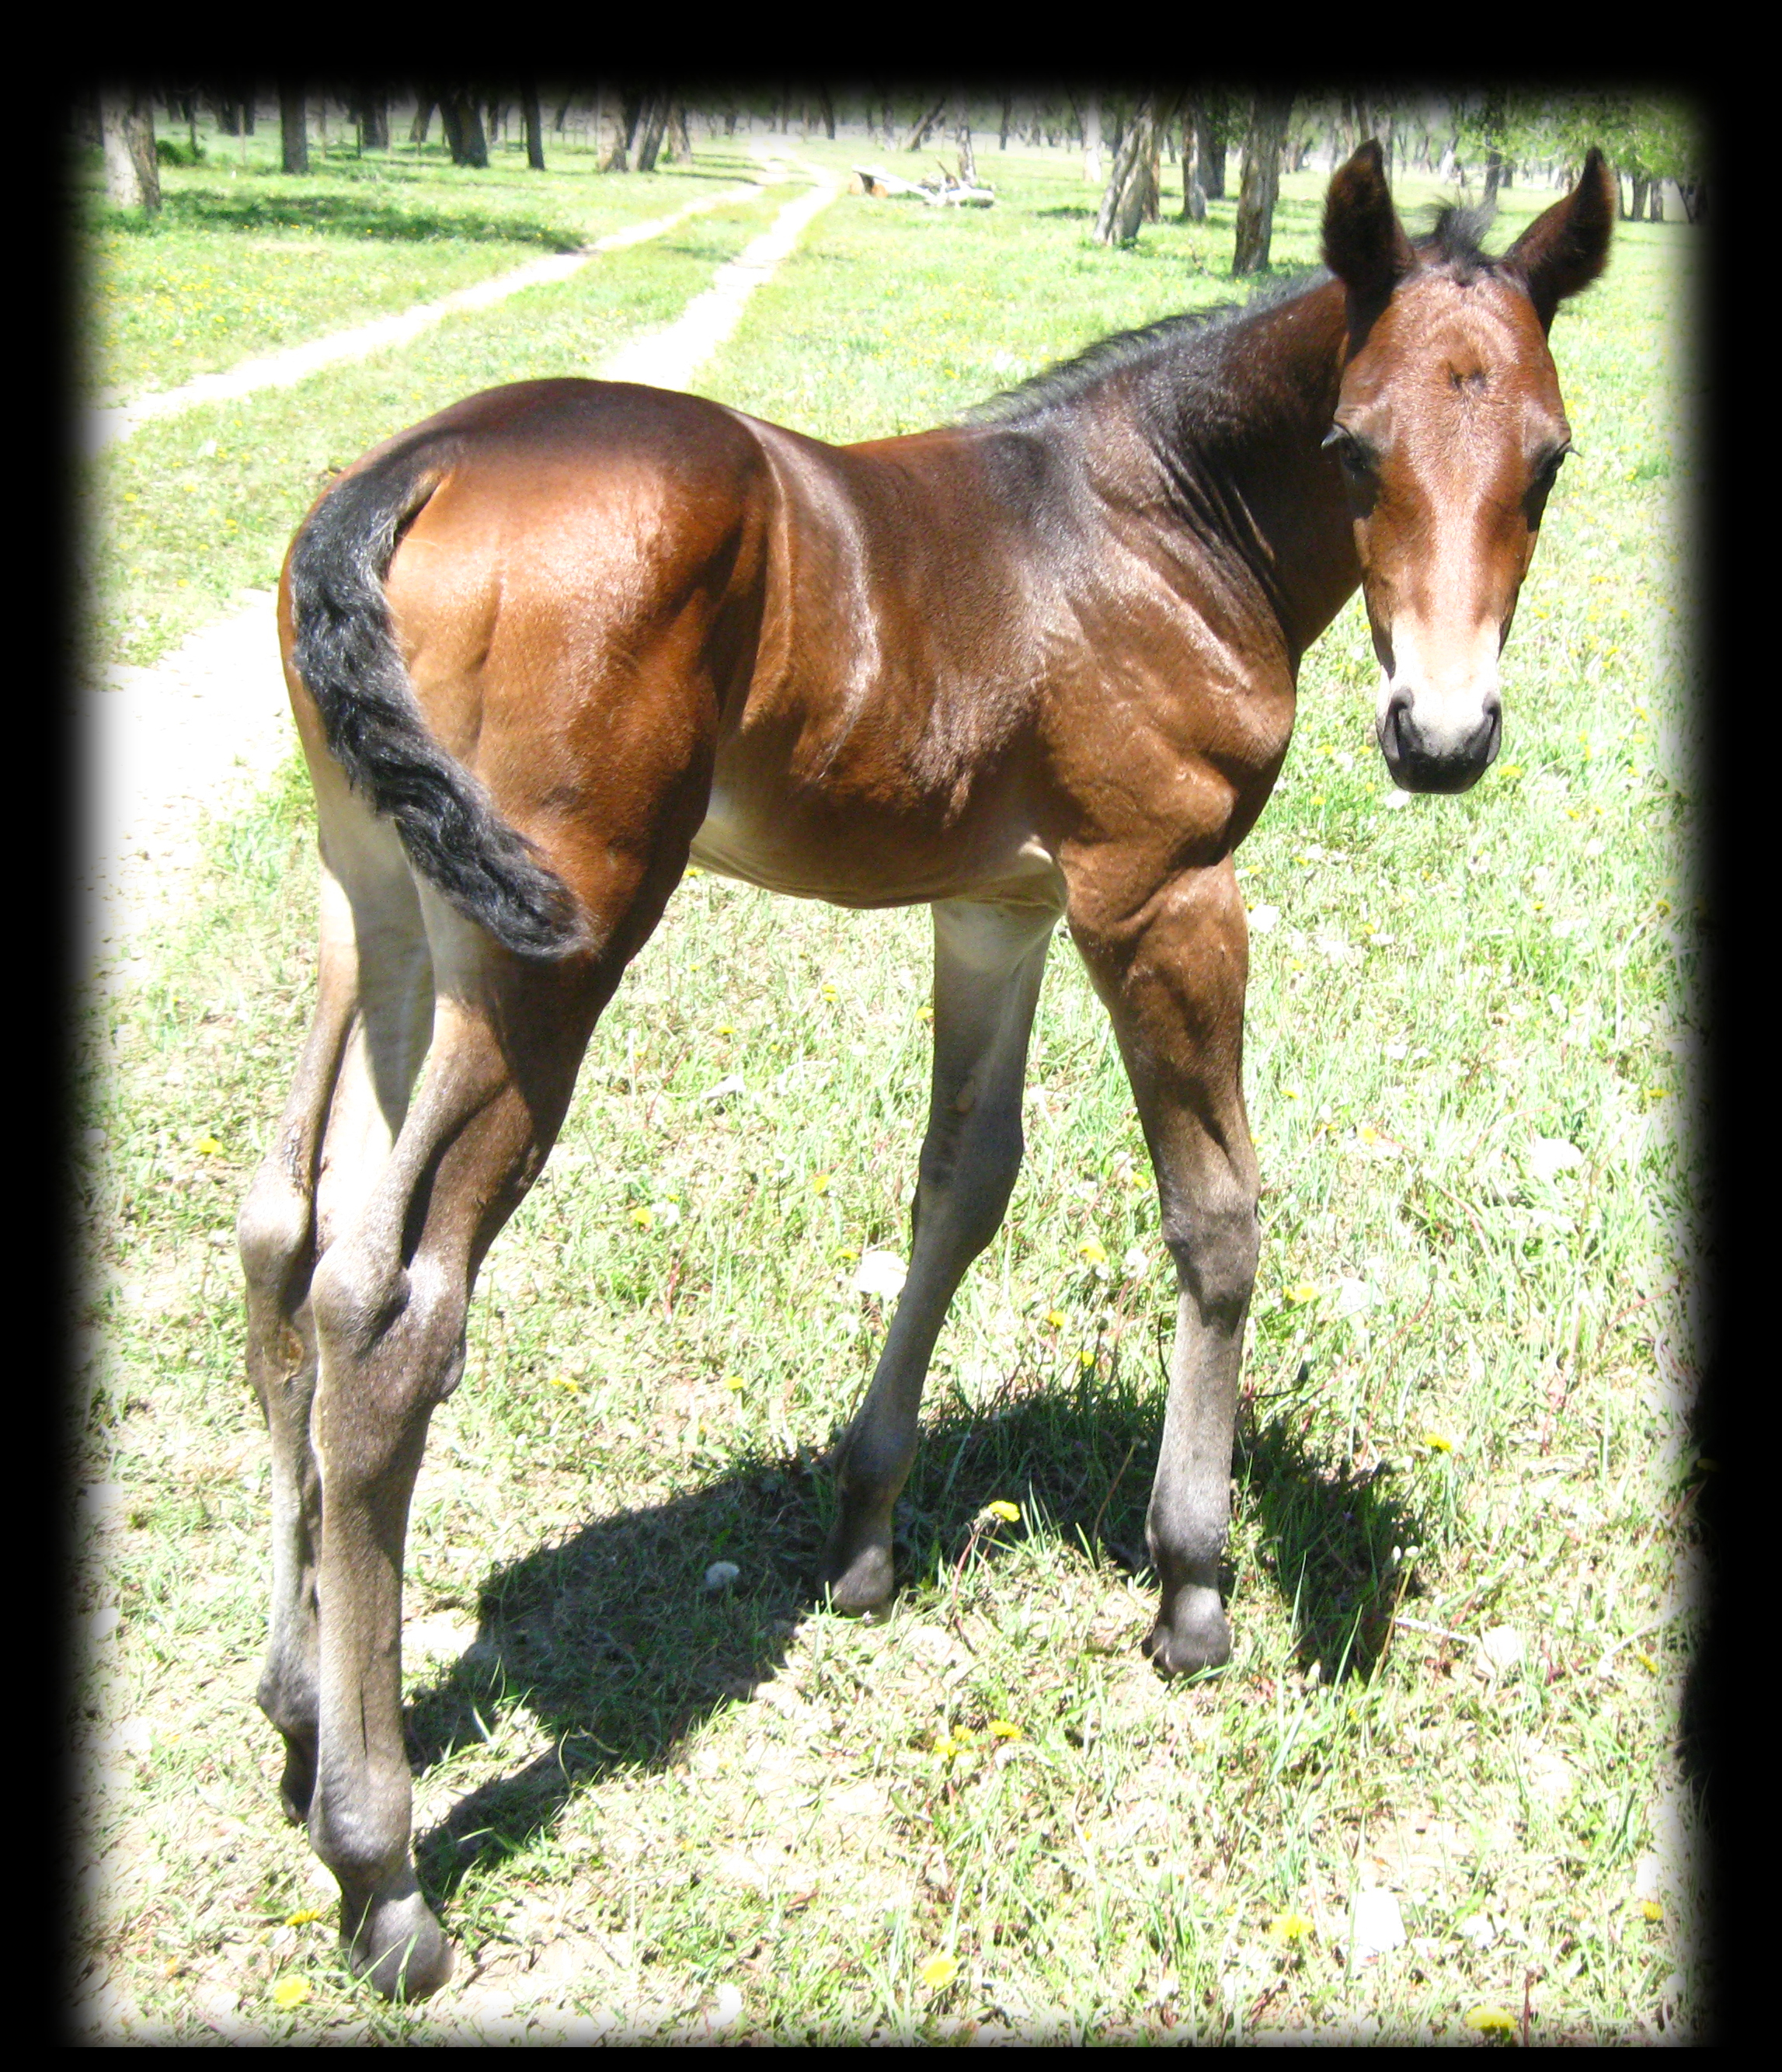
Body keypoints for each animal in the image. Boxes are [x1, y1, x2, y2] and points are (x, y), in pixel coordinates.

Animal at [237, 142, 1614, 1996]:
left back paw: (299, 1703)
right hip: (548, 947)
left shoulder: (997, 905)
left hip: (372, 902)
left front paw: (864, 1531)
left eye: (1545, 458)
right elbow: (1217, 1214)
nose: (1443, 738)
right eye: (1351, 449)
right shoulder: (1157, 890)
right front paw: (1191, 1584)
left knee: (296, 1237)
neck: (1152, 515)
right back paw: (382, 1872)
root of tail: (415, 466)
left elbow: (961, 1182)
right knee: (394, 1318)